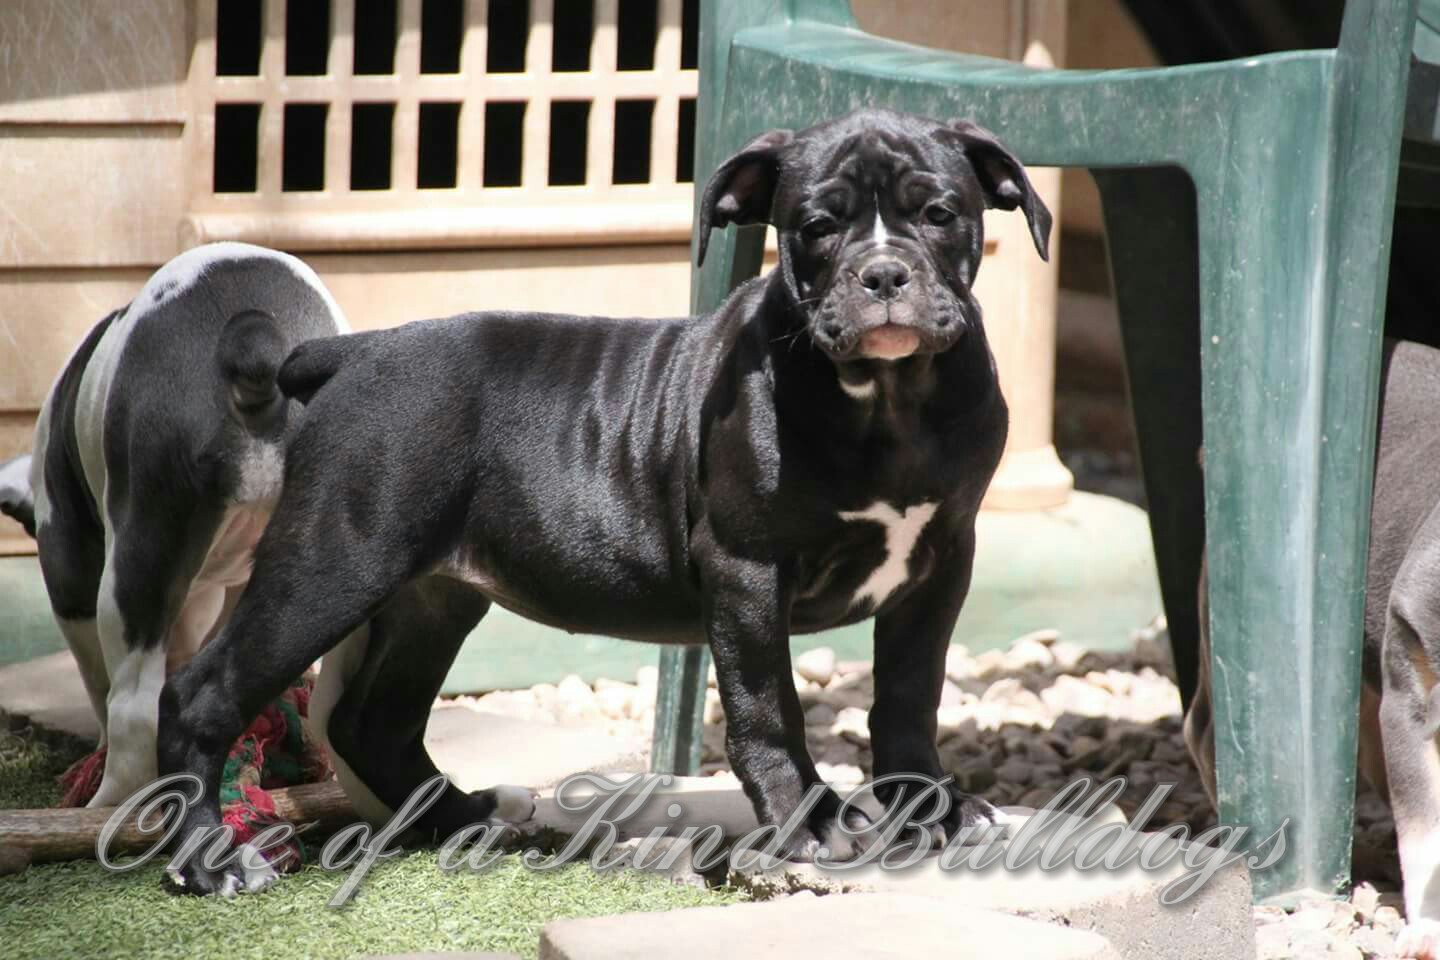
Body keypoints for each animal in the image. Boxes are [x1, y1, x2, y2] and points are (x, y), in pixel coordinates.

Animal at [9, 242, 348, 813]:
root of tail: (254, 341)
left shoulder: (69, 569)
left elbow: (97, 680)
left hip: (133, 565)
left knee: (133, 710)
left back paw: (108, 809)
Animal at [156, 108, 1053, 895]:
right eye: (816, 226)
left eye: (940, 214)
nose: (884, 273)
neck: (891, 398)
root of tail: (358, 352)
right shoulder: (749, 568)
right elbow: (769, 707)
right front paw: (809, 821)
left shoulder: (942, 560)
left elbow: (910, 690)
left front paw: (932, 809)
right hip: (334, 562)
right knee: (203, 694)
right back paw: (208, 860)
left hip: (433, 597)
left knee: (371, 723)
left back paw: (468, 820)